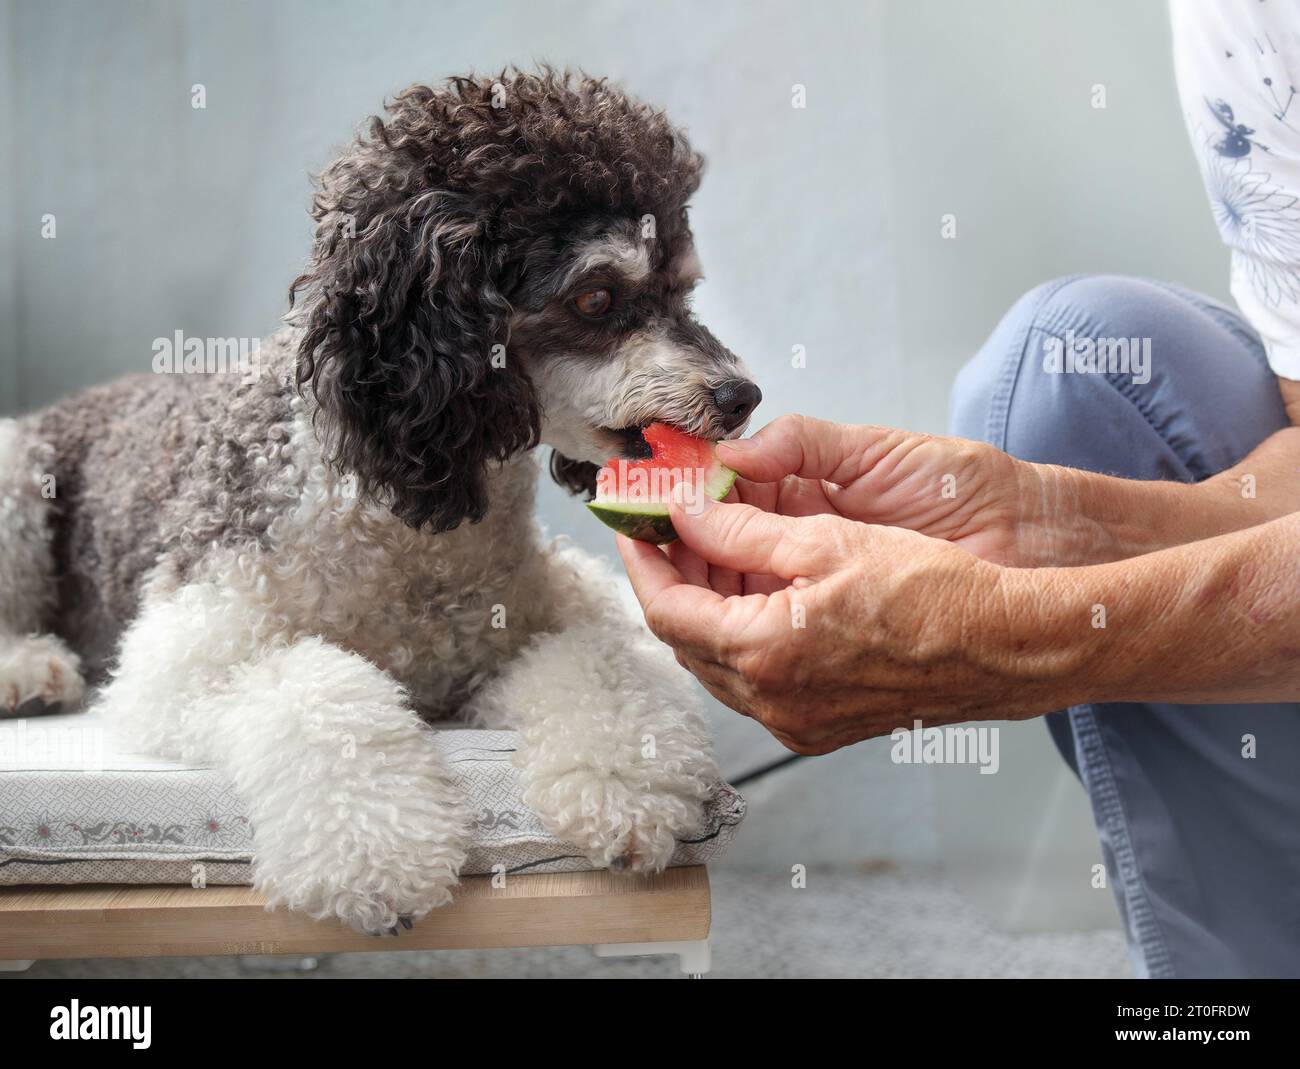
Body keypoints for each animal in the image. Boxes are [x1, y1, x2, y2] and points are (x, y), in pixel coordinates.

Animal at [0, 71, 759, 931]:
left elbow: (603, 663)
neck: (412, 524)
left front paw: (629, 787)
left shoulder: (566, 609)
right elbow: (323, 695)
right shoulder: (187, 654)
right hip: (18, 469)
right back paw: (28, 670)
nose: (741, 396)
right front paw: (378, 854)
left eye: (683, 287)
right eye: (597, 297)